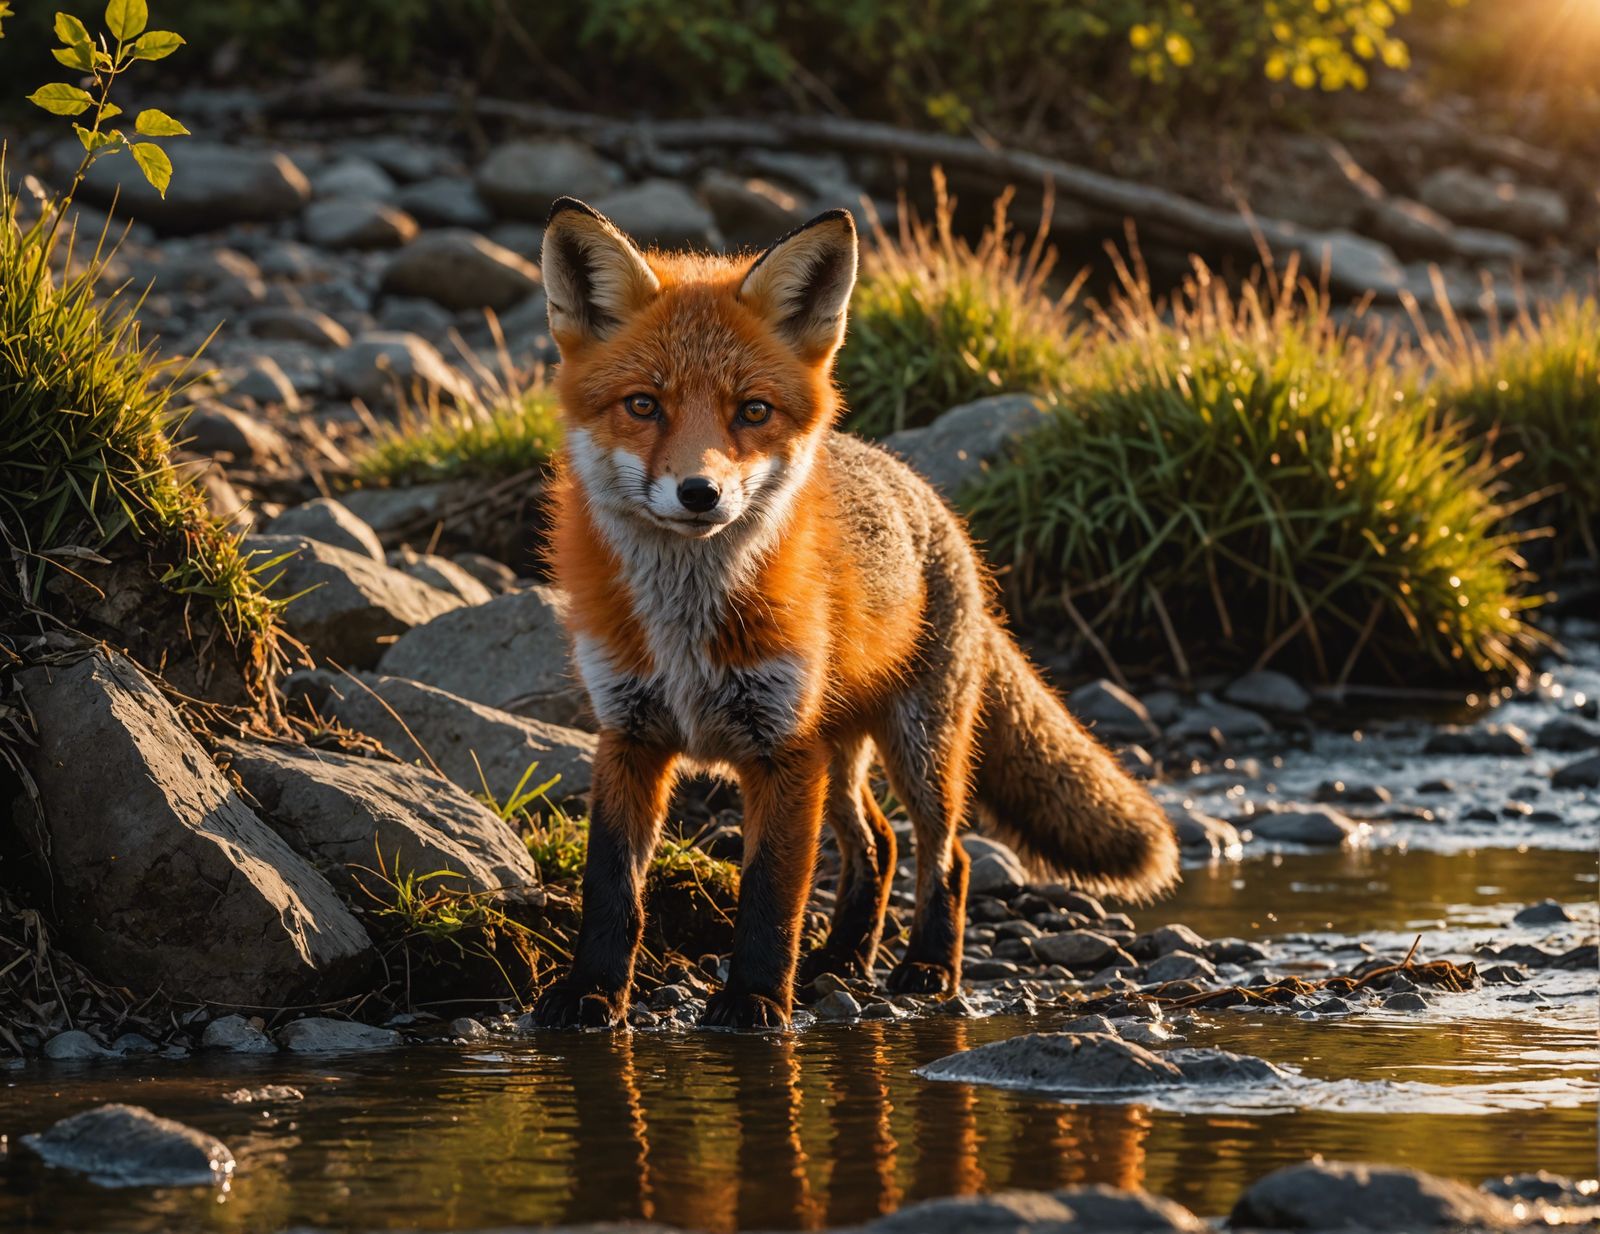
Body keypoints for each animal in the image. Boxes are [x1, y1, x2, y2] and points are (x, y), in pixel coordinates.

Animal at [531, 197, 1179, 1031]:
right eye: (643, 405)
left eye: (753, 411)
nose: (701, 494)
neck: (686, 626)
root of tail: (924, 491)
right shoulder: (630, 735)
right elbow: (611, 886)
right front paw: (592, 992)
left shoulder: (780, 749)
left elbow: (771, 895)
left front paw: (753, 1001)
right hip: (836, 752)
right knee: (877, 846)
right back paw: (840, 960)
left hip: (917, 747)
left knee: (945, 854)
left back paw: (926, 969)